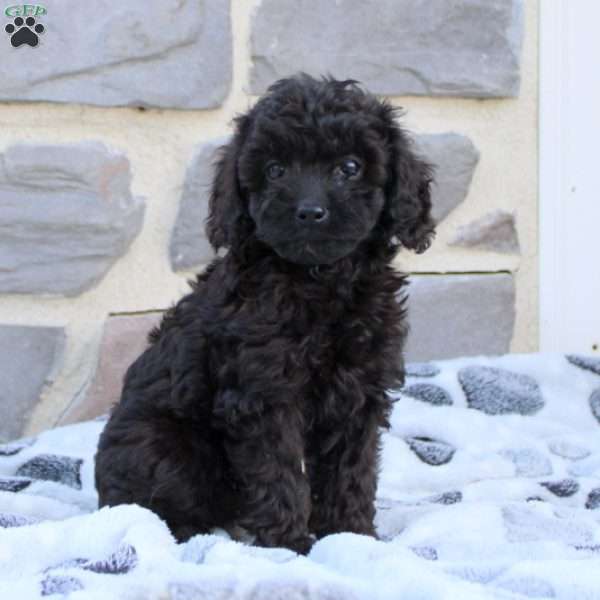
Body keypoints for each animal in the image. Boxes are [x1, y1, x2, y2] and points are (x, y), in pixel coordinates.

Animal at [94, 74, 434, 552]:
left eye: (350, 167)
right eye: (275, 170)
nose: (309, 212)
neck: (318, 281)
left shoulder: (357, 390)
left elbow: (352, 469)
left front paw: (351, 534)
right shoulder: (262, 392)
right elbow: (278, 470)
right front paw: (291, 543)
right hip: (164, 445)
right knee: (148, 504)